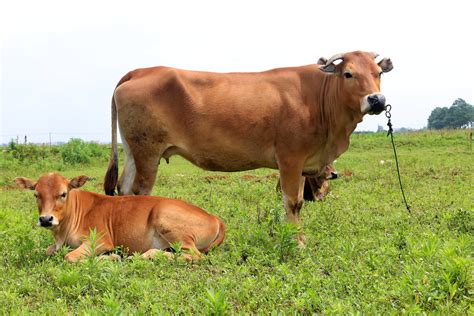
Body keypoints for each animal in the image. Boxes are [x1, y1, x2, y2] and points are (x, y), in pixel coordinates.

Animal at [103, 51, 392, 242]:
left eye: (378, 73)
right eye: (348, 73)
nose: (377, 99)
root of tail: (142, 71)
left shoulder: (302, 164)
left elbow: (298, 202)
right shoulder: (290, 158)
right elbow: (292, 202)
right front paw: (296, 241)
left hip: (133, 151)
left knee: (124, 188)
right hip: (147, 152)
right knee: (139, 191)